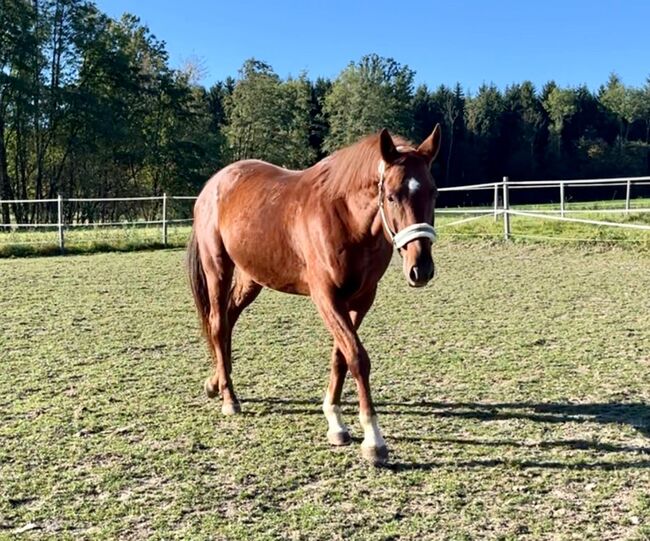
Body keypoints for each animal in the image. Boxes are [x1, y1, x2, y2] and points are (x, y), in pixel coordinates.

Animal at [187, 124, 440, 462]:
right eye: (391, 195)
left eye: (433, 192)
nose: (420, 268)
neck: (345, 219)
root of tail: (213, 185)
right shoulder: (326, 298)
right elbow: (357, 357)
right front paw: (373, 439)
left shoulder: (361, 299)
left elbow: (340, 357)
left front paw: (335, 420)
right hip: (218, 267)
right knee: (217, 324)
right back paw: (229, 397)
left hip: (252, 277)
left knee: (228, 320)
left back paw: (216, 382)